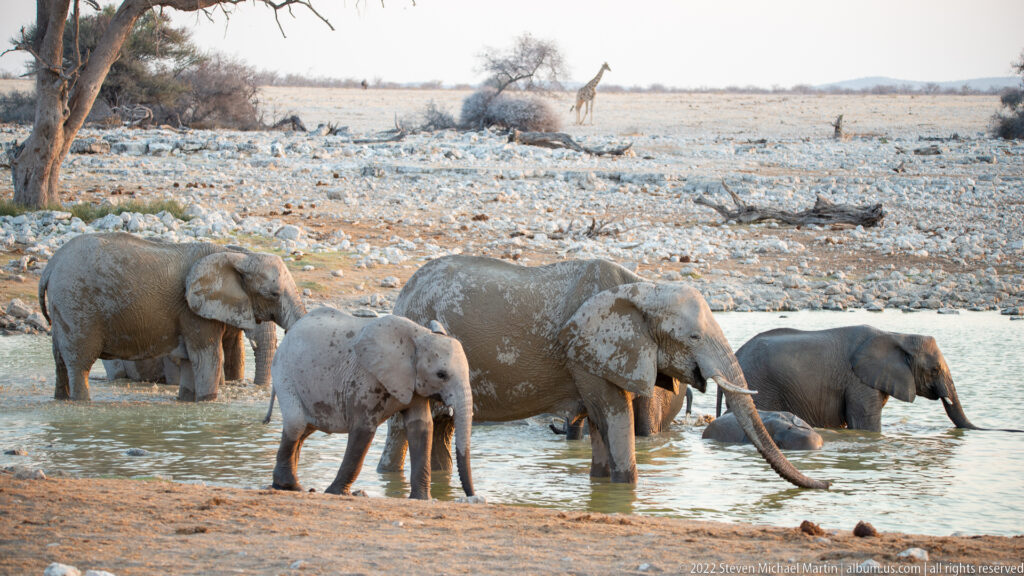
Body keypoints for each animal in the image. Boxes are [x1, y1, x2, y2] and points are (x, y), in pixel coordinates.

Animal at [39, 232, 305, 401]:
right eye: (273, 294)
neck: (233, 255)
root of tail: (50, 265)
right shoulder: (192, 309)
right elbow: (208, 356)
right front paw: (208, 402)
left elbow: (190, 359)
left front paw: (187, 401)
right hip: (78, 305)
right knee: (80, 364)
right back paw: (82, 403)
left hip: (64, 306)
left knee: (59, 361)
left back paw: (61, 401)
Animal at [268, 307, 474, 500]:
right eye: (441, 375)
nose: (472, 496)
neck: (418, 335)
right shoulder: (364, 378)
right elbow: (364, 429)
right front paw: (337, 493)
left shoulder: (413, 383)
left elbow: (421, 427)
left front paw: (422, 499)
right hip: (284, 373)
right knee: (296, 423)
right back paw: (292, 486)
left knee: (305, 429)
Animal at [377, 255, 829, 489]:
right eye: (694, 337)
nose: (827, 486)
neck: (642, 287)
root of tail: (403, 292)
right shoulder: (585, 354)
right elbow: (614, 415)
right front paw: (625, 486)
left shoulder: (603, 356)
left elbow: (600, 423)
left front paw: (602, 484)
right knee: (404, 428)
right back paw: (389, 476)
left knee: (442, 426)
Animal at [718, 325, 1024, 433]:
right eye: (935, 370)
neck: (899, 335)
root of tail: (735, 353)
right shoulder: (859, 382)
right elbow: (866, 425)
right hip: (759, 383)